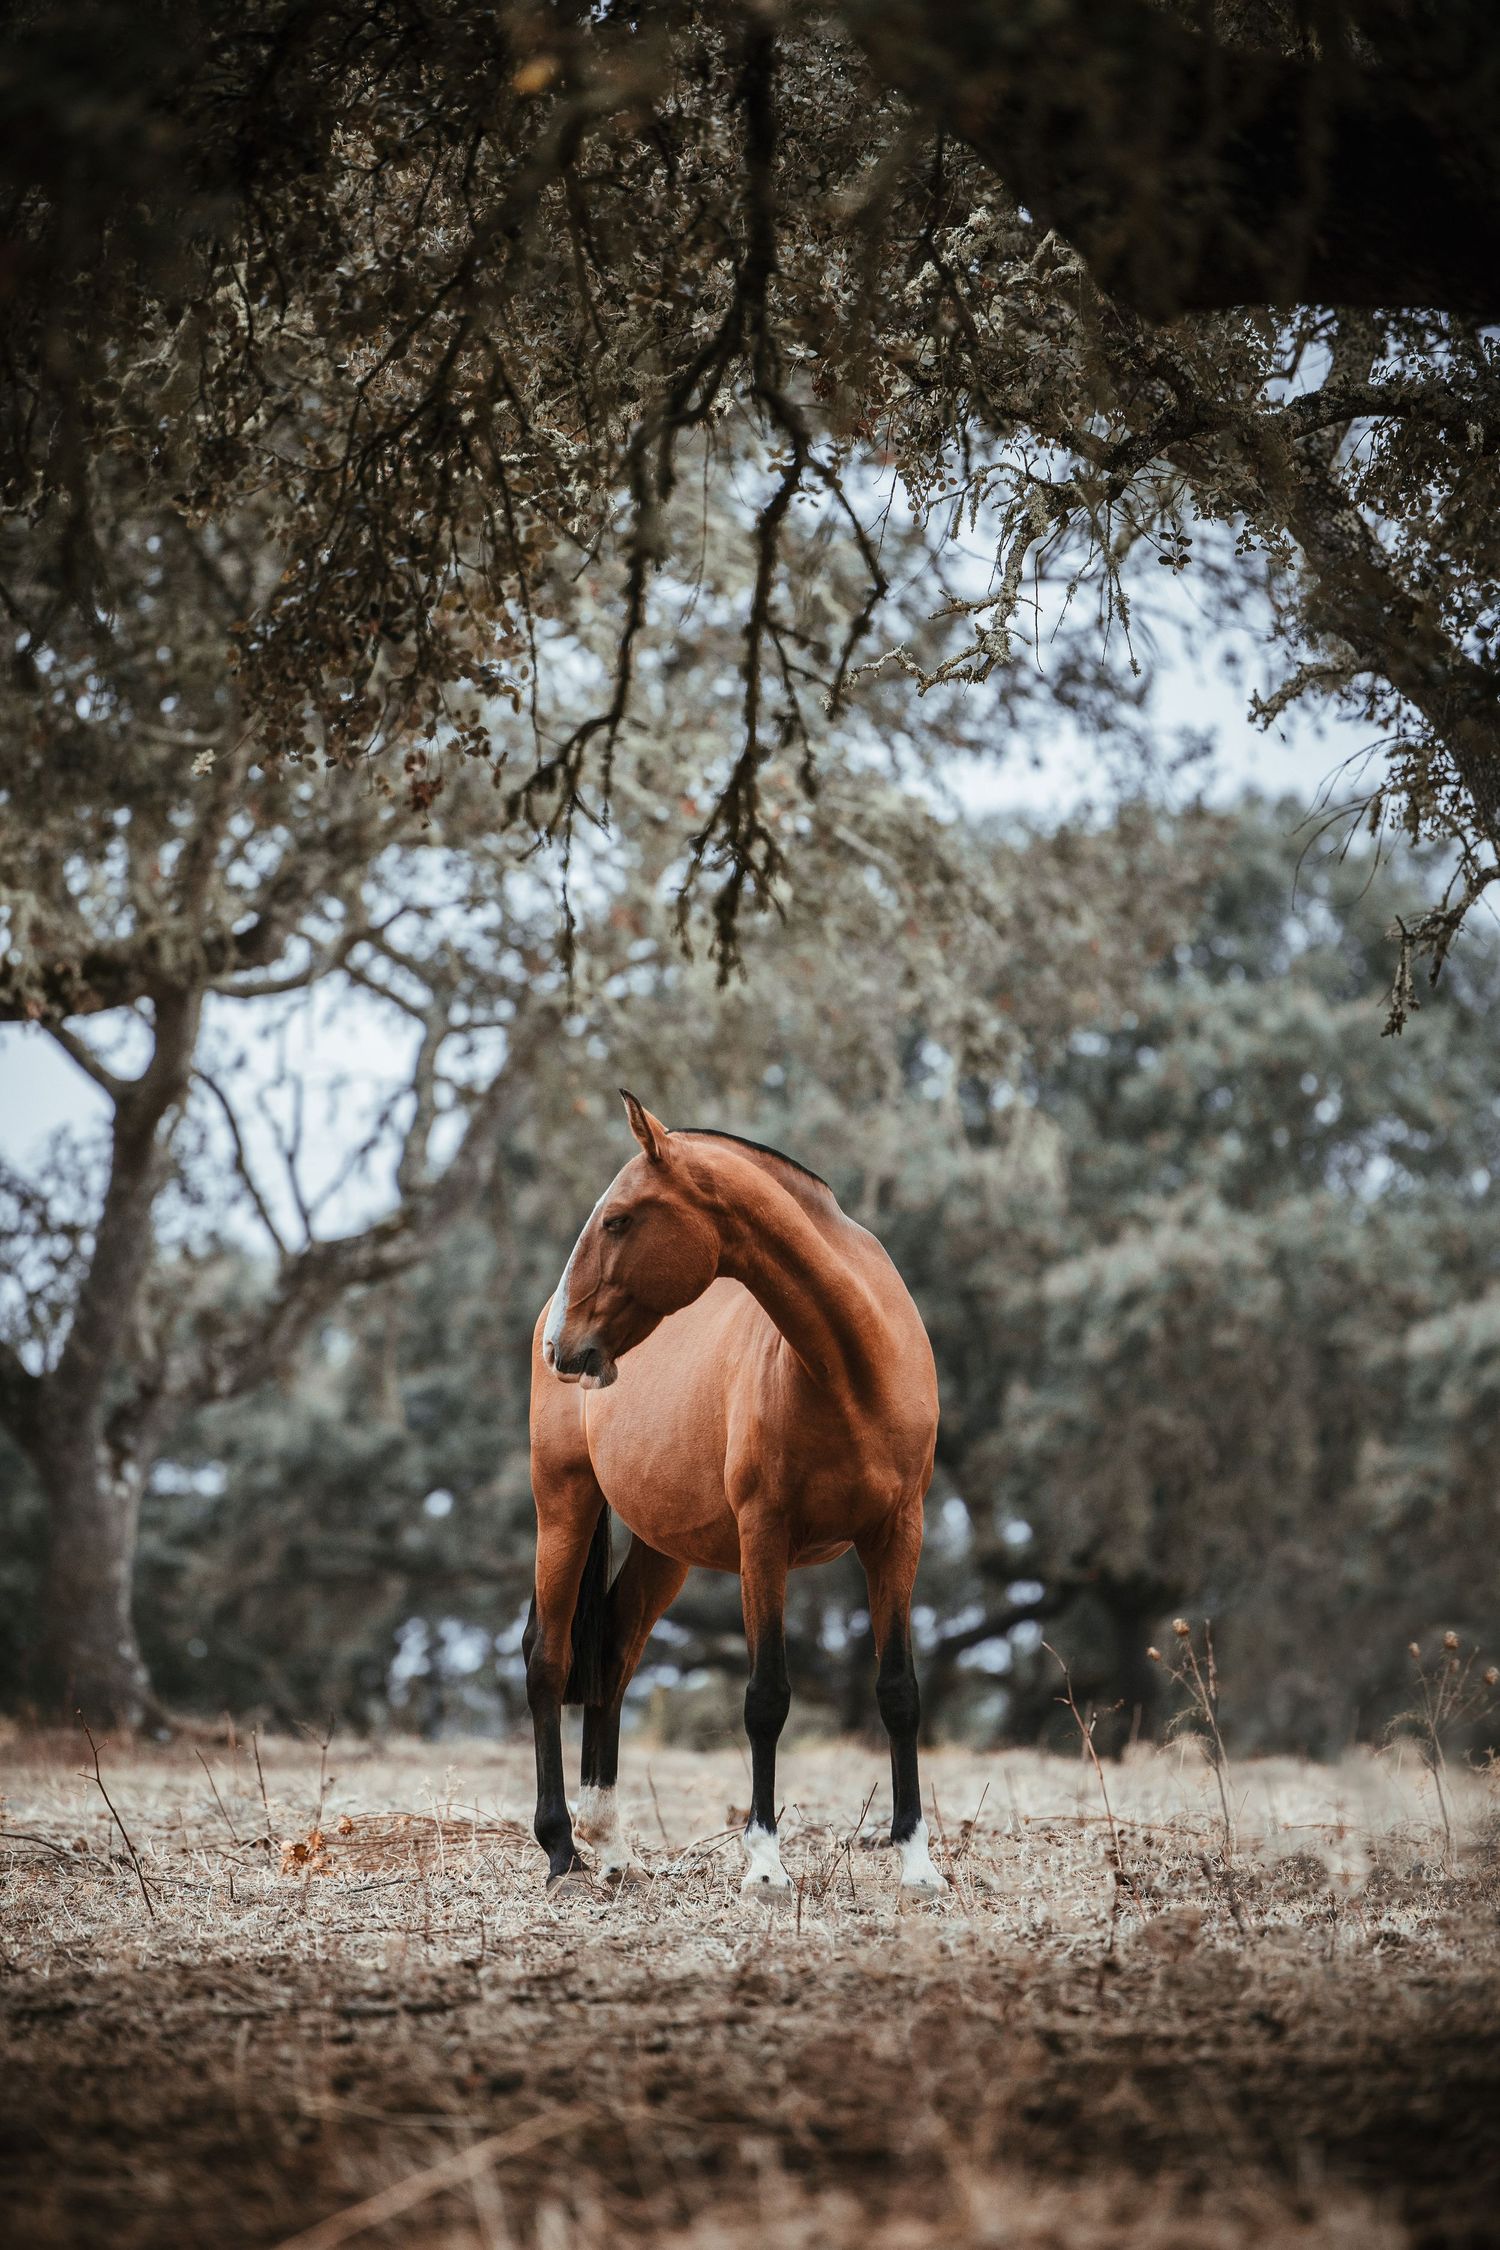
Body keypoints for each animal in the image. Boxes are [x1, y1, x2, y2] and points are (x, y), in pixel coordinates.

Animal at [525, 1090, 943, 1895]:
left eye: (618, 1218)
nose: (563, 1345)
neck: (851, 1369)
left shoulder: (897, 1536)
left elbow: (899, 1691)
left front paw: (916, 1859)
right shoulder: (764, 1538)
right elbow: (766, 1698)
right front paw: (765, 1864)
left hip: (663, 1551)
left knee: (613, 1656)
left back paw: (611, 1845)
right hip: (564, 1508)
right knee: (549, 1660)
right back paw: (561, 1846)